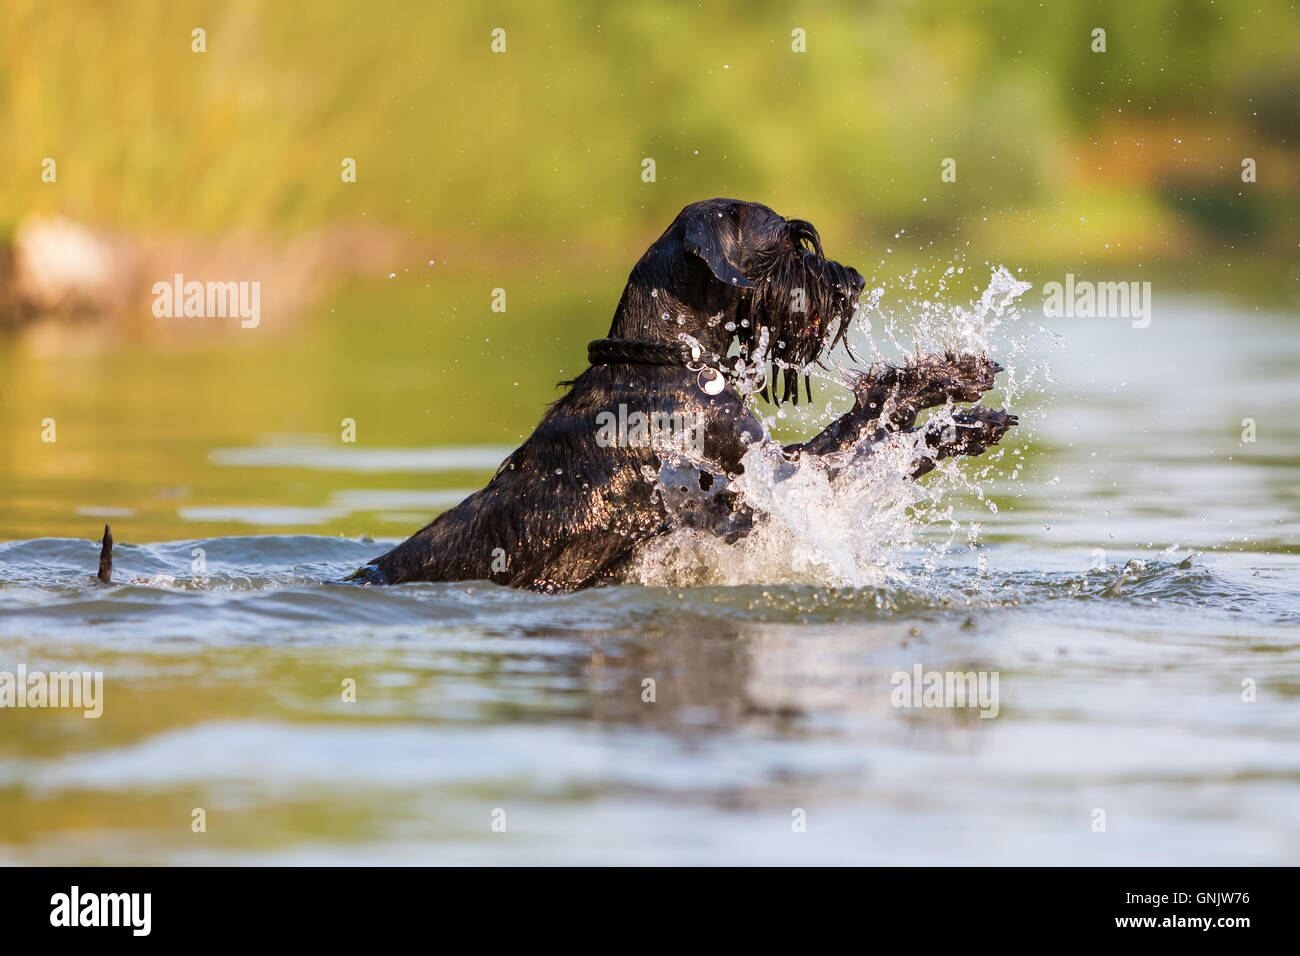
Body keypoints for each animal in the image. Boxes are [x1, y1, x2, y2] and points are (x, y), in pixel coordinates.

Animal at [356, 200, 1013, 590]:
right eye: (790, 242)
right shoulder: (768, 486)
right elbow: (873, 447)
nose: (853, 282)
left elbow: (873, 415)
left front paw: (956, 379)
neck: (667, 361)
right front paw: (959, 423)